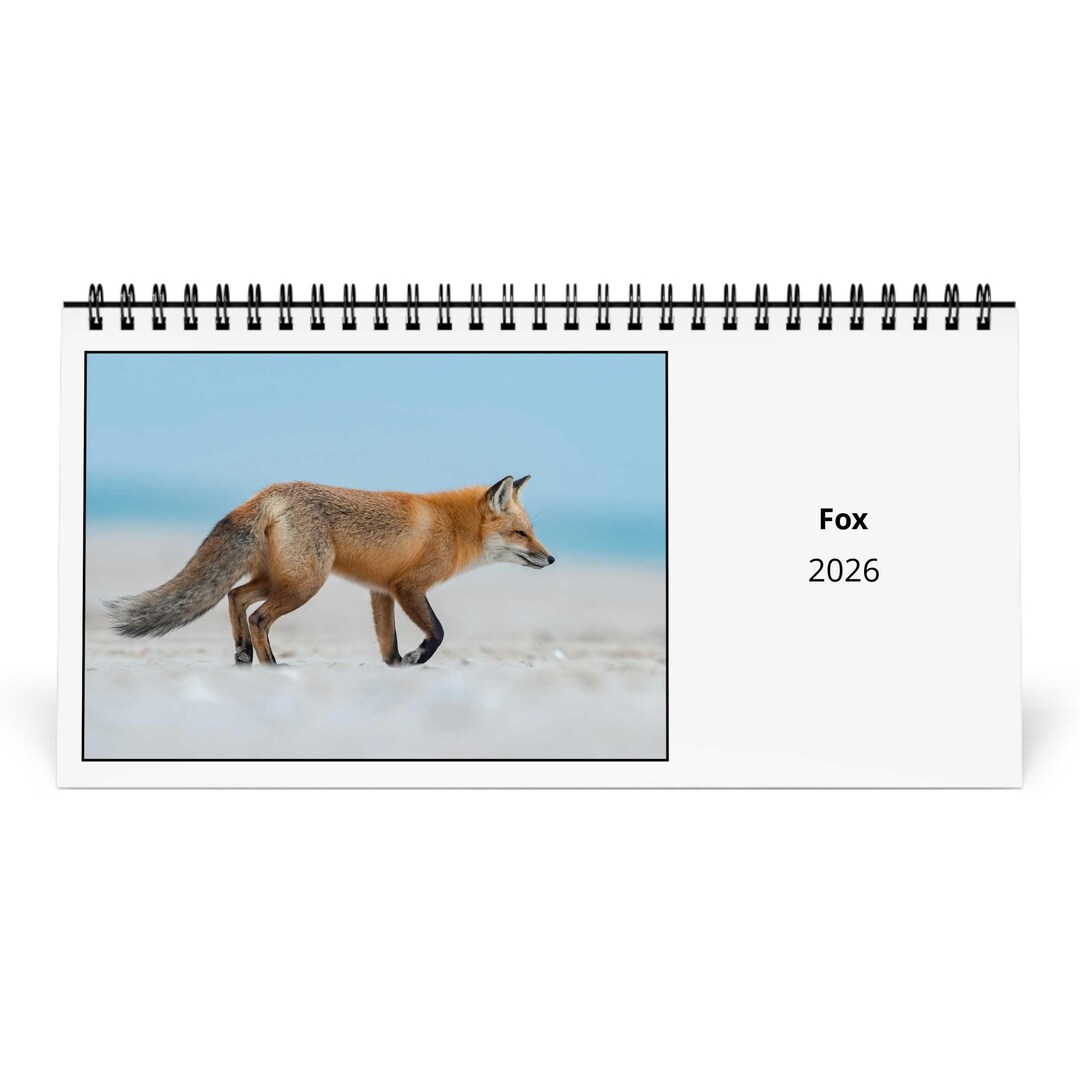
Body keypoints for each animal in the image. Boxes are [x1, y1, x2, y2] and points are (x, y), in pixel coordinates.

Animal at [105, 475, 554, 666]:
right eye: (521, 534)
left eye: (533, 532)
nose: (551, 559)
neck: (452, 527)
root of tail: (268, 492)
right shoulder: (408, 587)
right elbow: (439, 632)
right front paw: (418, 657)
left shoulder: (381, 590)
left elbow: (388, 645)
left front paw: (396, 666)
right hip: (305, 584)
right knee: (259, 616)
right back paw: (271, 664)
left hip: (280, 578)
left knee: (235, 597)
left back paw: (243, 654)